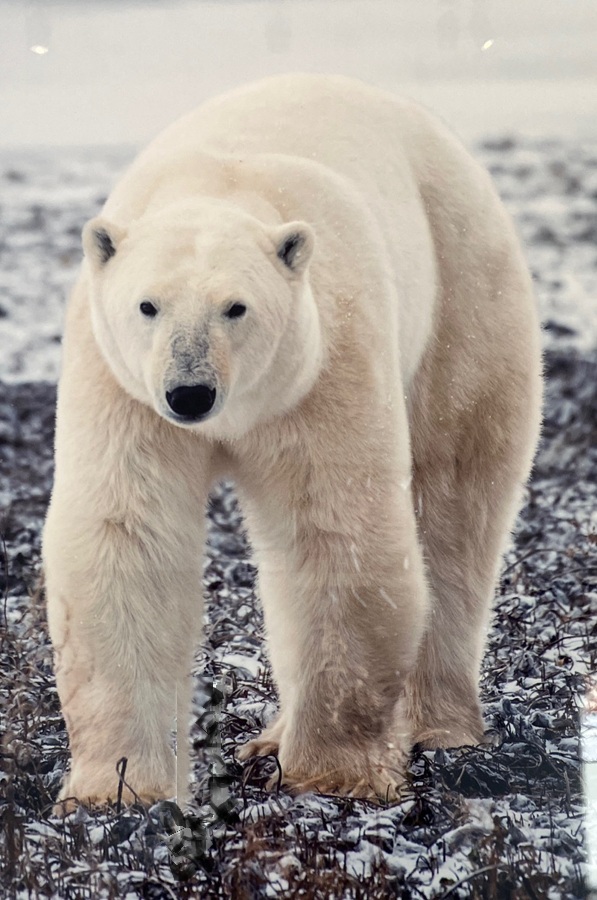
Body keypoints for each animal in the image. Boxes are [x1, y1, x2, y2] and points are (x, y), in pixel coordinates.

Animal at [42, 73, 543, 811]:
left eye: (235, 307)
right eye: (147, 305)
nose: (190, 394)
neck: (221, 182)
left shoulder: (322, 362)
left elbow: (335, 531)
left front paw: (333, 773)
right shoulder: (121, 386)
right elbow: (127, 534)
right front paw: (118, 789)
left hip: (462, 282)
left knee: (457, 497)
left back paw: (439, 726)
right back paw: (269, 738)